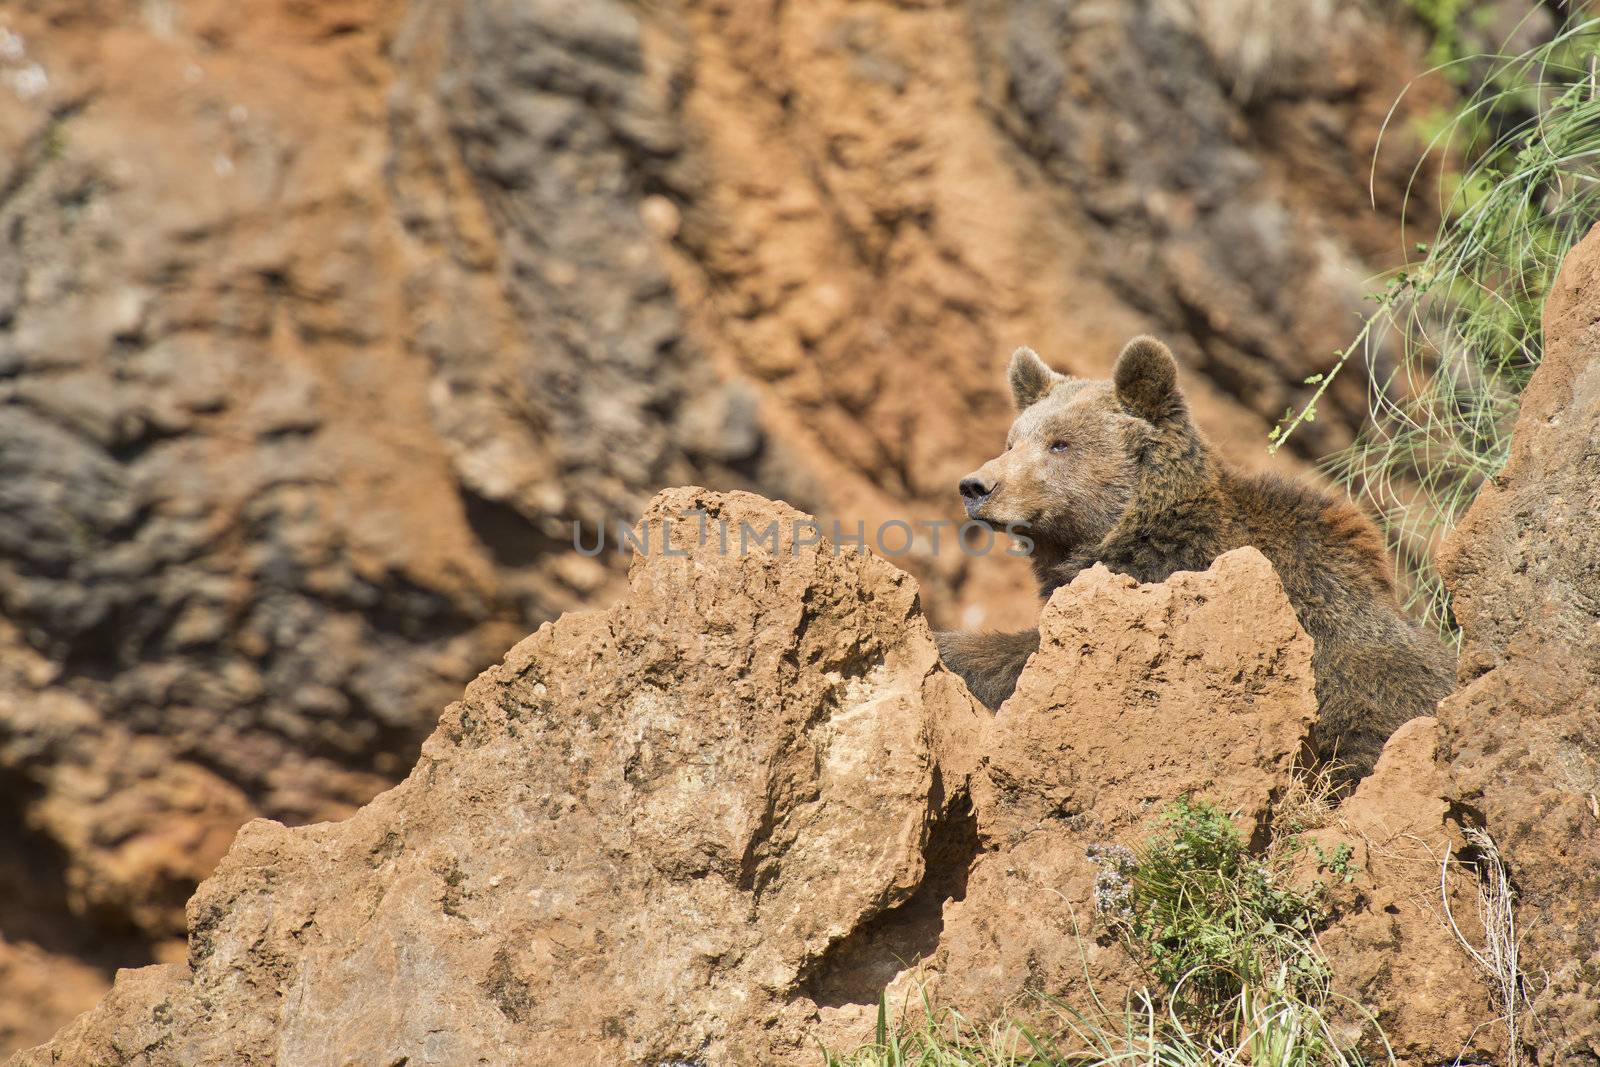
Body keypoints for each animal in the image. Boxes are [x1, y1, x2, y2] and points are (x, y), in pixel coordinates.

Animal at [934, 337, 1465, 780]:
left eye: (1060, 443)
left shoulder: (1172, 584)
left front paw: (948, 645)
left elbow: (1037, 656)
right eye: (1012, 441)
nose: (976, 486)